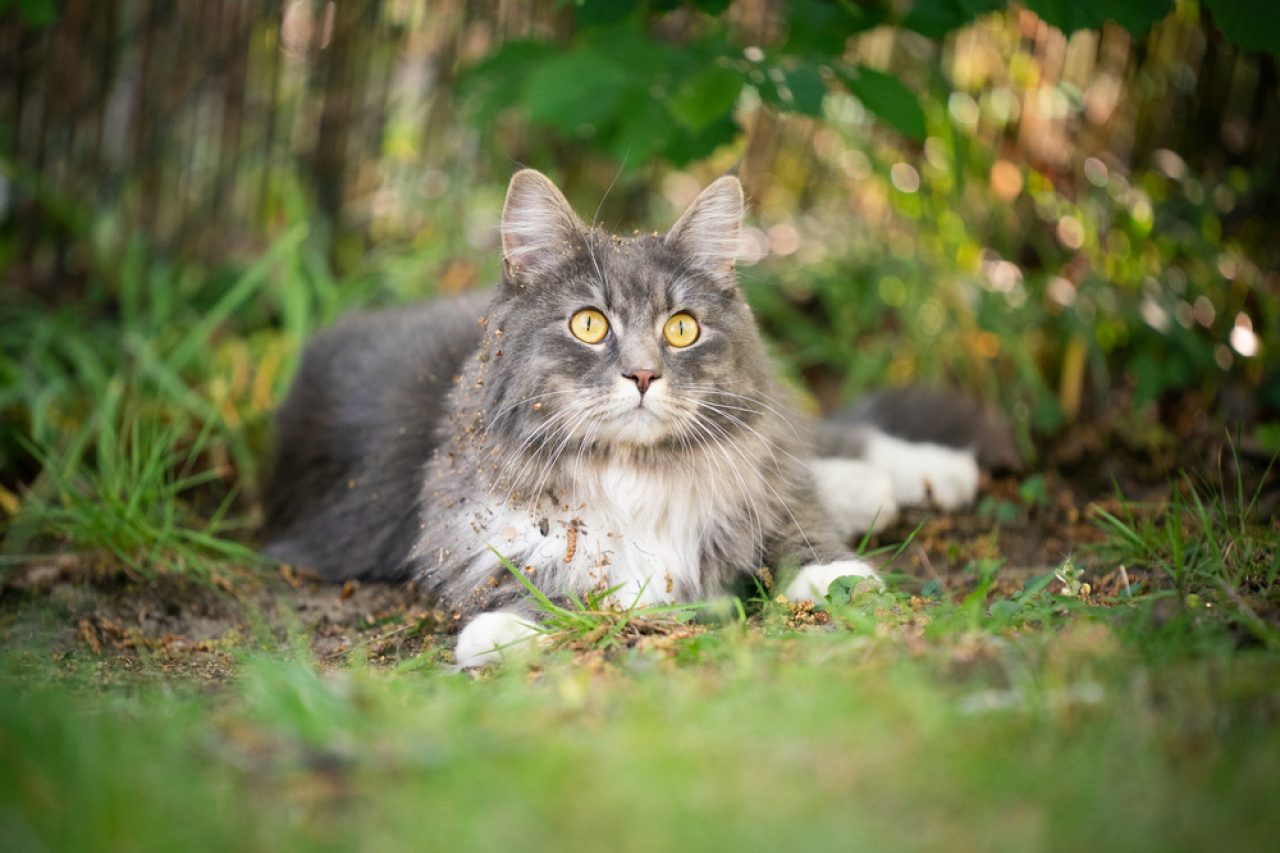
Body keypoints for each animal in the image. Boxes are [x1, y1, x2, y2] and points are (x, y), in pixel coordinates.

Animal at [262, 171, 977, 666]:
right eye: (589, 324)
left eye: (682, 328)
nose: (642, 375)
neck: (635, 471)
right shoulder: (459, 522)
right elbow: (513, 572)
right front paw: (509, 629)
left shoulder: (758, 483)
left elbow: (795, 518)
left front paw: (835, 576)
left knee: (819, 441)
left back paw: (931, 473)